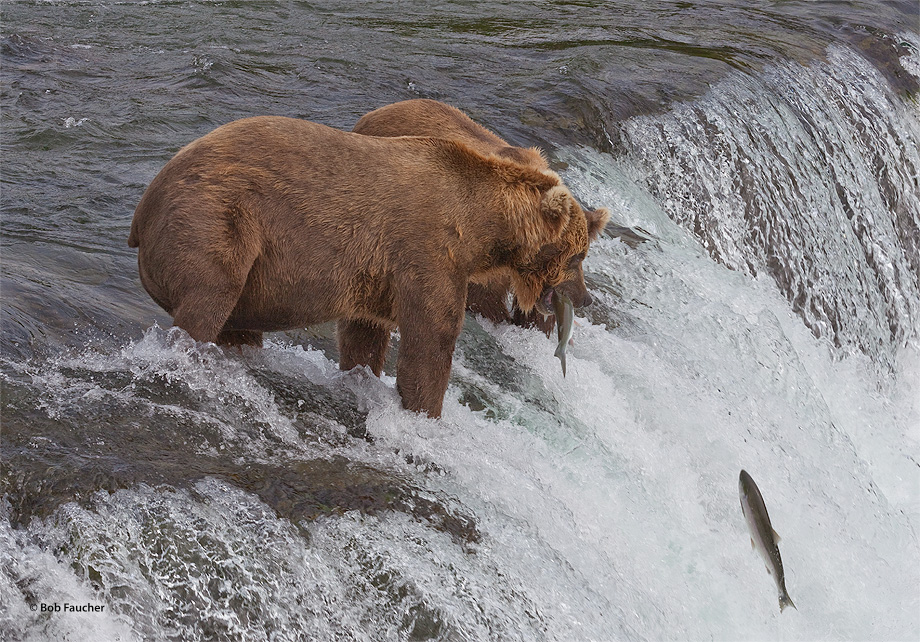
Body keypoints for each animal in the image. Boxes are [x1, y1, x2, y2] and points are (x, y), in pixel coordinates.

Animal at [126, 114, 592, 416]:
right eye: (579, 255)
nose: (585, 298)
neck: (477, 226)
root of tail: (142, 211)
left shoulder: (375, 275)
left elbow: (364, 334)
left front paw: (363, 378)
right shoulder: (427, 251)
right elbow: (431, 340)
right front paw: (425, 412)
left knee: (237, 322)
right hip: (217, 218)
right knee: (210, 296)